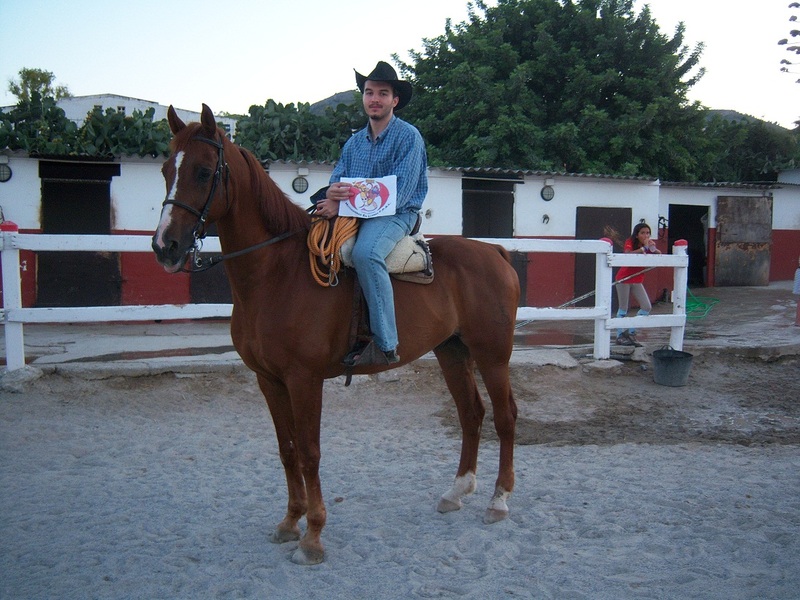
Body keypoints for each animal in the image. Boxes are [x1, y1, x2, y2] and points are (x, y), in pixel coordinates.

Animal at [152, 105, 520, 564]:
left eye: (203, 172)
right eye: (167, 169)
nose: (165, 246)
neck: (276, 273)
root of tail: (495, 252)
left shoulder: (304, 380)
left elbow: (310, 453)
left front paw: (312, 536)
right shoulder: (269, 380)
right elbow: (288, 450)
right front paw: (289, 522)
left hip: (492, 355)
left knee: (505, 418)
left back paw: (499, 500)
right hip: (452, 352)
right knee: (471, 414)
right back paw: (456, 492)